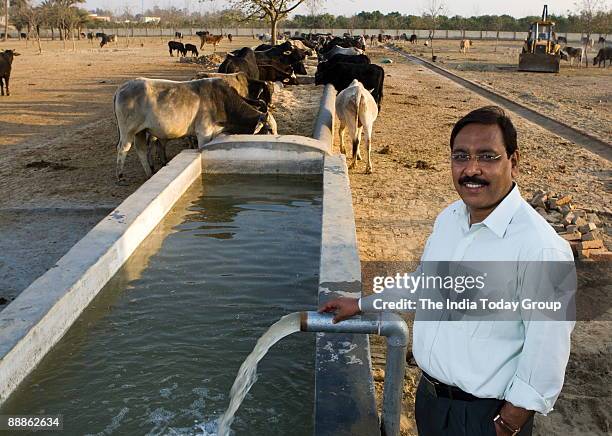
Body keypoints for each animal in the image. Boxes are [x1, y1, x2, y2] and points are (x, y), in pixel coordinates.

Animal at [115, 78, 278, 179]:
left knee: (141, 150)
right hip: (128, 131)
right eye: (269, 129)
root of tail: (122, 88)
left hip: (141, 131)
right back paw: (120, 175)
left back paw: (150, 172)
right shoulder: (203, 134)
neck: (222, 102)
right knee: (123, 148)